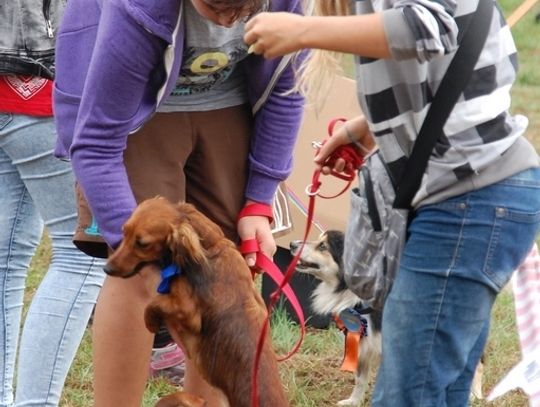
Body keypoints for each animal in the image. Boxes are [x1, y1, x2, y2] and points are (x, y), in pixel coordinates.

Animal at [292, 231, 486, 406]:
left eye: (323, 246)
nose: (292, 244)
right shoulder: (362, 344)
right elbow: (360, 380)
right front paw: (354, 401)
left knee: (477, 365)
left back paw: (475, 395)